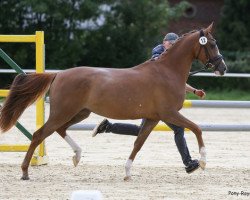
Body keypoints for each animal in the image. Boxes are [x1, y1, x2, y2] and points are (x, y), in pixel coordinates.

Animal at [0, 23, 227, 180]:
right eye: (213, 44)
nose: (222, 68)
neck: (167, 72)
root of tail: (58, 74)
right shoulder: (169, 113)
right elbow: (196, 128)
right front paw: (202, 162)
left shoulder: (153, 118)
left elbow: (138, 143)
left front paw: (127, 172)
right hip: (63, 112)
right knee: (39, 134)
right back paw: (25, 172)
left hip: (80, 113)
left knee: (59, 129)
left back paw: (77, 155)